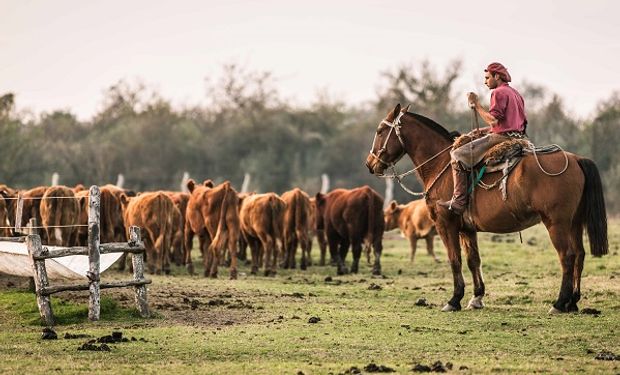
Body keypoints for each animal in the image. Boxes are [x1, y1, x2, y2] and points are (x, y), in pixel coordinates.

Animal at [366, 104, 608, 312]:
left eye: (379, 131)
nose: (370, 164)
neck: (442, 165)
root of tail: (576, 159)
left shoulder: (446, 225)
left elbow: (455, 260)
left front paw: (454, 299)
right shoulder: (467, 229)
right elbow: (473, 260)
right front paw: (476, 297)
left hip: (556, 223)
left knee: (567, 256)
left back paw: (559, 303)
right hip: (574, 223)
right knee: (579, 255)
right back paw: (573, 302)